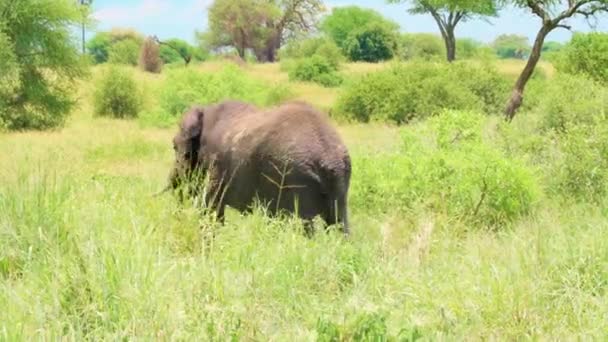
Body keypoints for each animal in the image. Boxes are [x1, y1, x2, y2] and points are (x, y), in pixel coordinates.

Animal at [159, 100, 354, 236]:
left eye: (174, 147)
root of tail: (329, 159)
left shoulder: (218, 162)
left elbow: (212, 206)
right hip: (339, 181)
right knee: (339, 224)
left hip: (297, 176)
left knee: (304, 226)